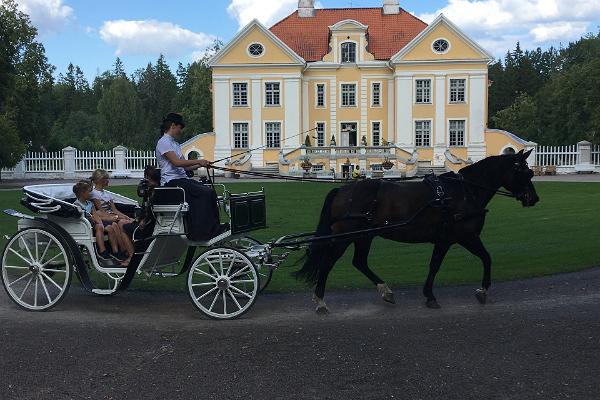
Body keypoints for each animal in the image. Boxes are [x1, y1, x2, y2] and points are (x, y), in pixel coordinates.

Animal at [296, 149, 540, 312]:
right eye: (525, 173)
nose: (534, 198)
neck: (464, 192)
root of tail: (342, 189)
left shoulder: (445, 239)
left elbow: (435, 265)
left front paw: (429, 295)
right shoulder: (465, 237)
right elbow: (485, 258)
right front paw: (482, 291)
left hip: (364, 236)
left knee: (359, 262)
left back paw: (385, 291)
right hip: (345, 237)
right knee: (329, 262)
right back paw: (320, 300)